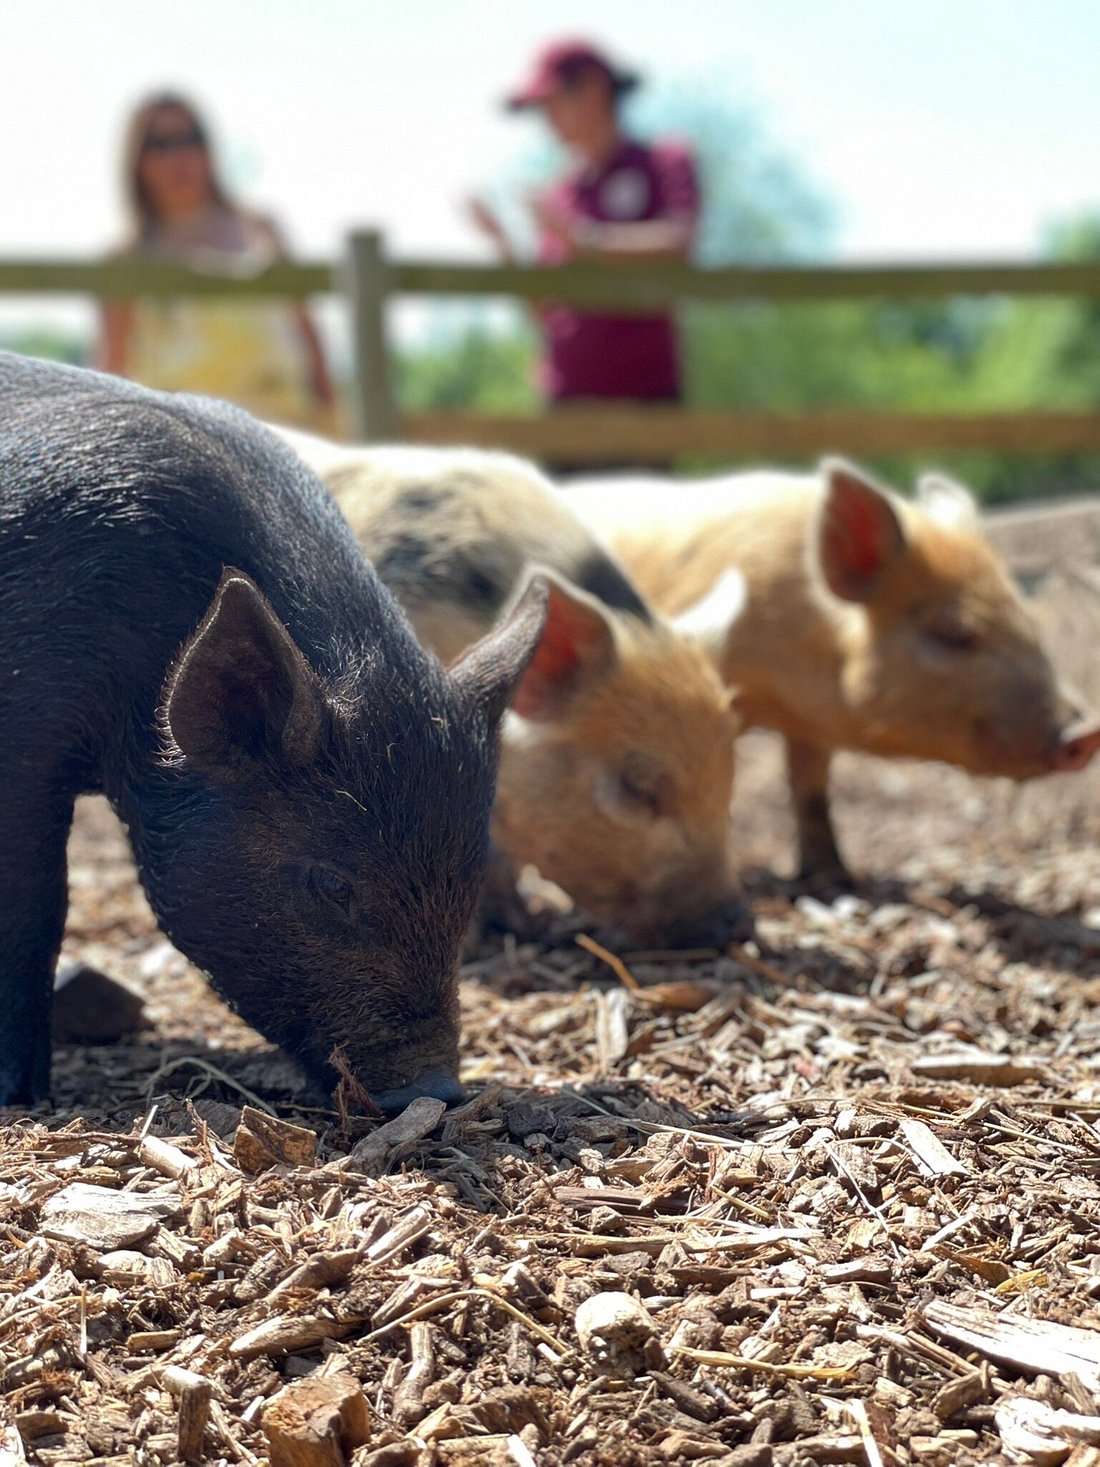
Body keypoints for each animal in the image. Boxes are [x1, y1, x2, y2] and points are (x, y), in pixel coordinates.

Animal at [0, 354, 547, 1109]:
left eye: (468, 876)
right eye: (332, 883)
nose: (434, 1086)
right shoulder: (25, 732)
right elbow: (34, 905)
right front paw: (23, 1095)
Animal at [563, 458, 1100, 882]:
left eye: (1029, 622)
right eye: (954, 632)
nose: (1085, 732)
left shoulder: (811, 727)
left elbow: (812, 790)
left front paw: (837, 880)